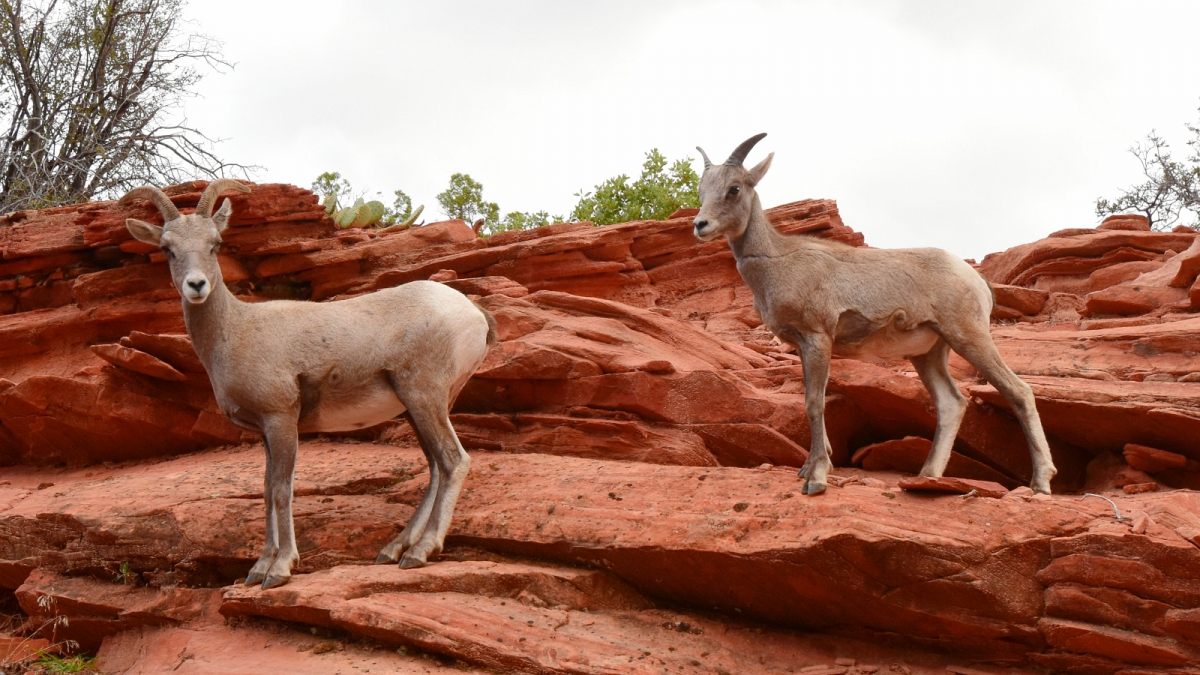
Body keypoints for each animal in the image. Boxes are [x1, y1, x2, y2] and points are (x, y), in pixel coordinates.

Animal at [121, 181, 496, 586]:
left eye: (215, 243)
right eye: (167, 248)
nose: (196, 285)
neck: (234, 331)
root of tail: (474, 313)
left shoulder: (281, 419)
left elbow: (283, 490)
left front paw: (280, 569)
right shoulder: (264, 431)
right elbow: (267, 489)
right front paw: (258, 569)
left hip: (425, 399)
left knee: (453, 461)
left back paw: (420, 552)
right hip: (420, 408)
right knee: (435, 467)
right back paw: (393, 550)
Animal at [691, 135, 1056, 494]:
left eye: (734, 188)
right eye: (701, 189)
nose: (700, 225)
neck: (778, 263)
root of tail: (977, 281)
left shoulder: (817, 339)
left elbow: (814, 403)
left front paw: (816, 478)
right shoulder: (802, 346)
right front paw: (808, 469)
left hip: (969, 337)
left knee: (1018, 391)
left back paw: (1040, 483)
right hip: (929, 354)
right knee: (951, 404)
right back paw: (927, 476)